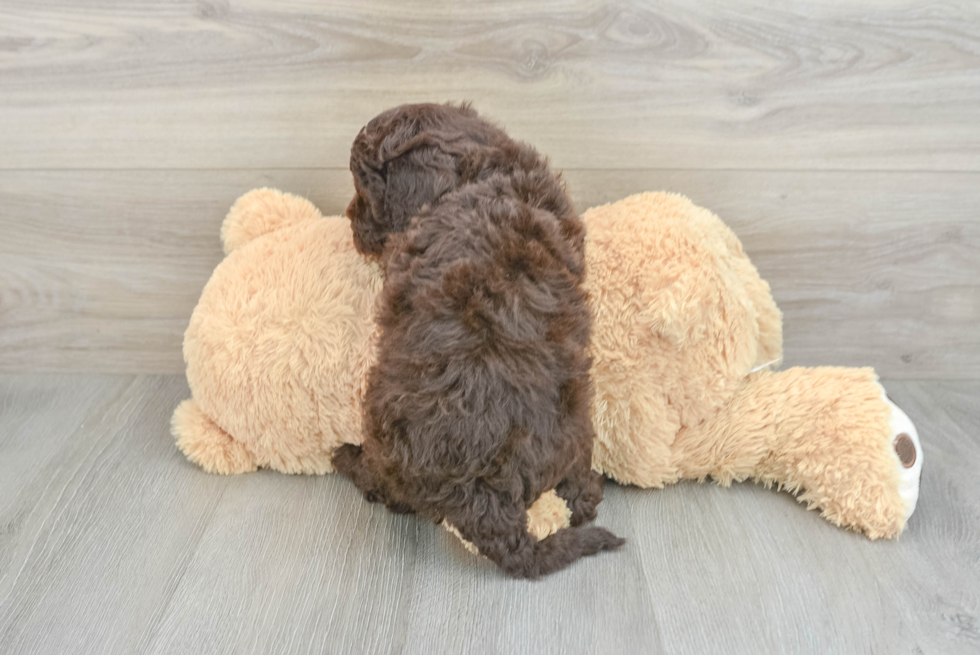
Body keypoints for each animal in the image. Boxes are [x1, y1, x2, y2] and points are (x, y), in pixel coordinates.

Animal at [330, 104, 620, 580]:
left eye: (364, 187)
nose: (350, 219)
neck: (481, 172)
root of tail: (485, 501)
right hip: (578, 417)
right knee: (582, 494)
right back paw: (586, 494)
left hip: (383, 427)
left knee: (387, 490)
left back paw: (344, 457)